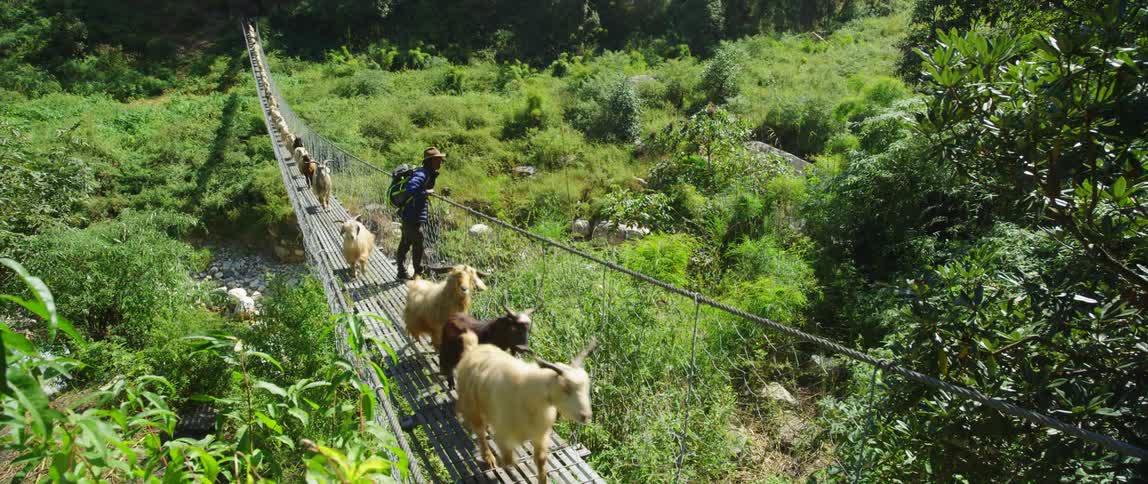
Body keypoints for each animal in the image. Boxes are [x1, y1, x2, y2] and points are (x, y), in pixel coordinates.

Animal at [456, 334, 598, 483]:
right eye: (566, 388)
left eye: (587, 386)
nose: (586, 416)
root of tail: (473, 349)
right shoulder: (503, 433)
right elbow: (508, 460)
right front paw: (501, 462)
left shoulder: (540, 434)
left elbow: (541, 460)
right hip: (473, 406)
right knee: (480, 432)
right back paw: (489, 458)